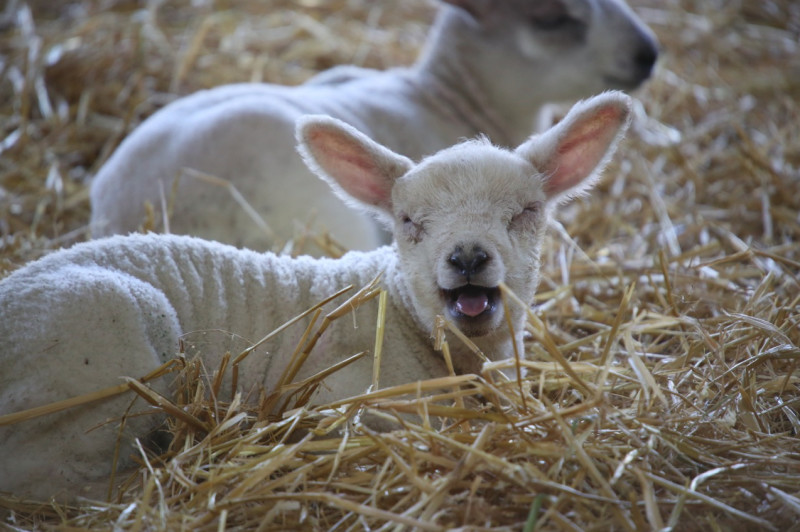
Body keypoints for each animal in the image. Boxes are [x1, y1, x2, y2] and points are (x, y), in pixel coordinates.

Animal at [0, 91, 632, 502]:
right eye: (408, 221)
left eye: (526, 211)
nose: (469, 258)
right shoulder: (343, 397)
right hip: (100, 348)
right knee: (41, 478)